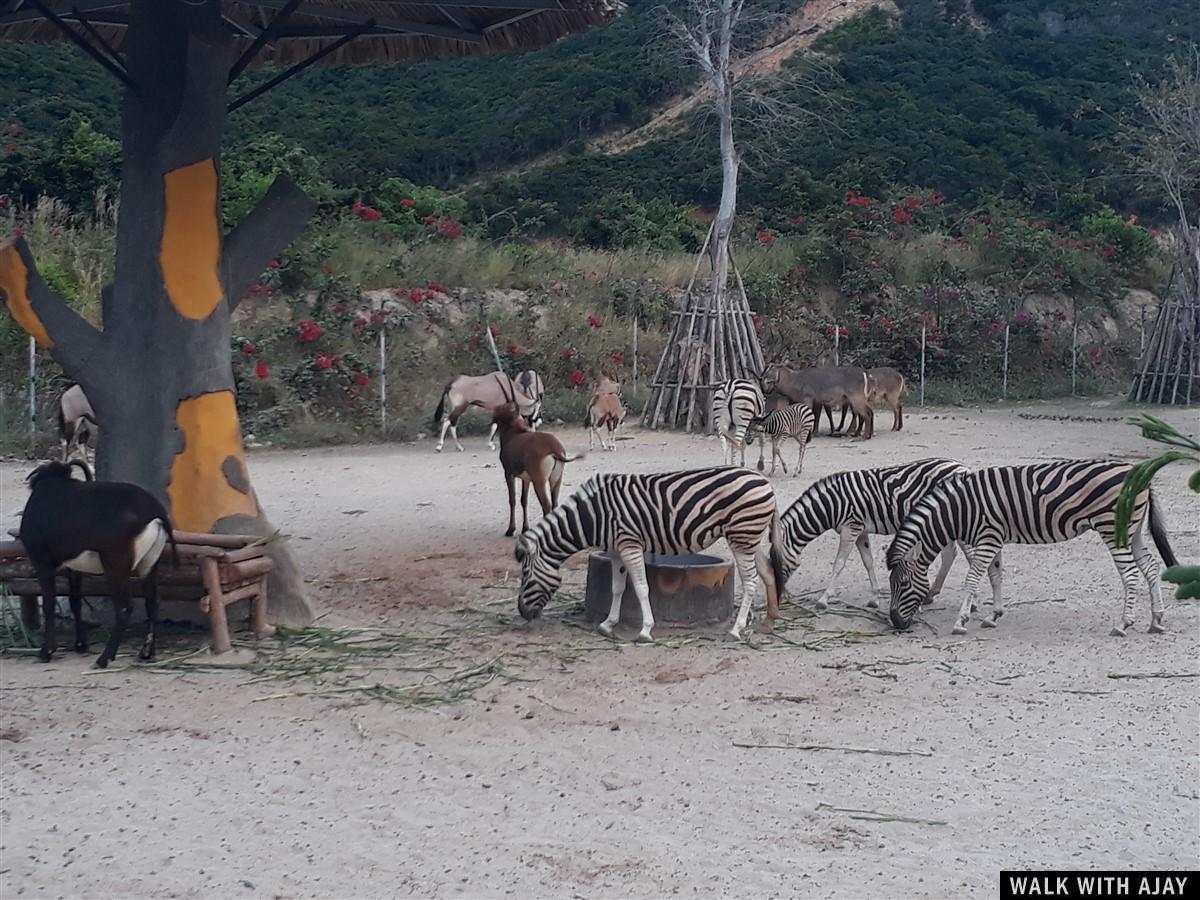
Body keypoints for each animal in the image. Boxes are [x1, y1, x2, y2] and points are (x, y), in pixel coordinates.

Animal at [487, 400, 580, 535]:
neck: (513, 434)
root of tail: (554, 448)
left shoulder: (509, 474)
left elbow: (512, 500)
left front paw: (511, 529)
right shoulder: (526, 479)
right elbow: (523, 500)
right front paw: (525, 528)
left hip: (539, 482)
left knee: (546, 505)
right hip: (556, 480)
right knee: (555, 503)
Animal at [511, 468, 782, 643]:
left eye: (525, 574)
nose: (522, 613)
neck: (594, 515)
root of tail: (765, 481)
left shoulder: (629, 544)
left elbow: (641, 587)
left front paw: (645, 630)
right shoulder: (615, 549)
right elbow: (617, 588)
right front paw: (608, 624)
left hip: (741, 536)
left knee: (751, 581)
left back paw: (736, 629)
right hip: (750, 537)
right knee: (768, 572)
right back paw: (768, 623)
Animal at [772, 458, 979, 614]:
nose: (780, 597)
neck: (831, 504)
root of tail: (962, 466)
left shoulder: (850, 527)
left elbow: (839, 564)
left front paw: (823, 599)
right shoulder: (861, 531)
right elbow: (868, 562)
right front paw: (875, 598)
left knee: (969, 555)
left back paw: (972, 602)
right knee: (950, 554)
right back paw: (931, 595)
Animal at [888, 460, 1176, 638]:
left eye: (902, 584)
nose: (896, 623)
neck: (960, 509)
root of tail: (1140, 475)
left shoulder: (987, 537)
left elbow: (972, 579)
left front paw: (961, 622)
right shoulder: (994, 538)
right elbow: (995, 576)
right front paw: (994, 615)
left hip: (1111, 527)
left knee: (1130, 574)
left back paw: (1123, 623)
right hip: (1132, 530)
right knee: (1150, 566)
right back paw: (1156, 619)